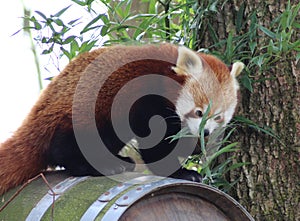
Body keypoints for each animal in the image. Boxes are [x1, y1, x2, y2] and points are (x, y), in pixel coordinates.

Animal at [0, 43, 244, 195]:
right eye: (199, 112)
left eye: (218, 117)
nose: (205, 133)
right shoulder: (143, 97)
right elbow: (154, 142)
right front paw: (181, 172)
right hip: (80, 115)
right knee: (64, 148)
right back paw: (99, 165)